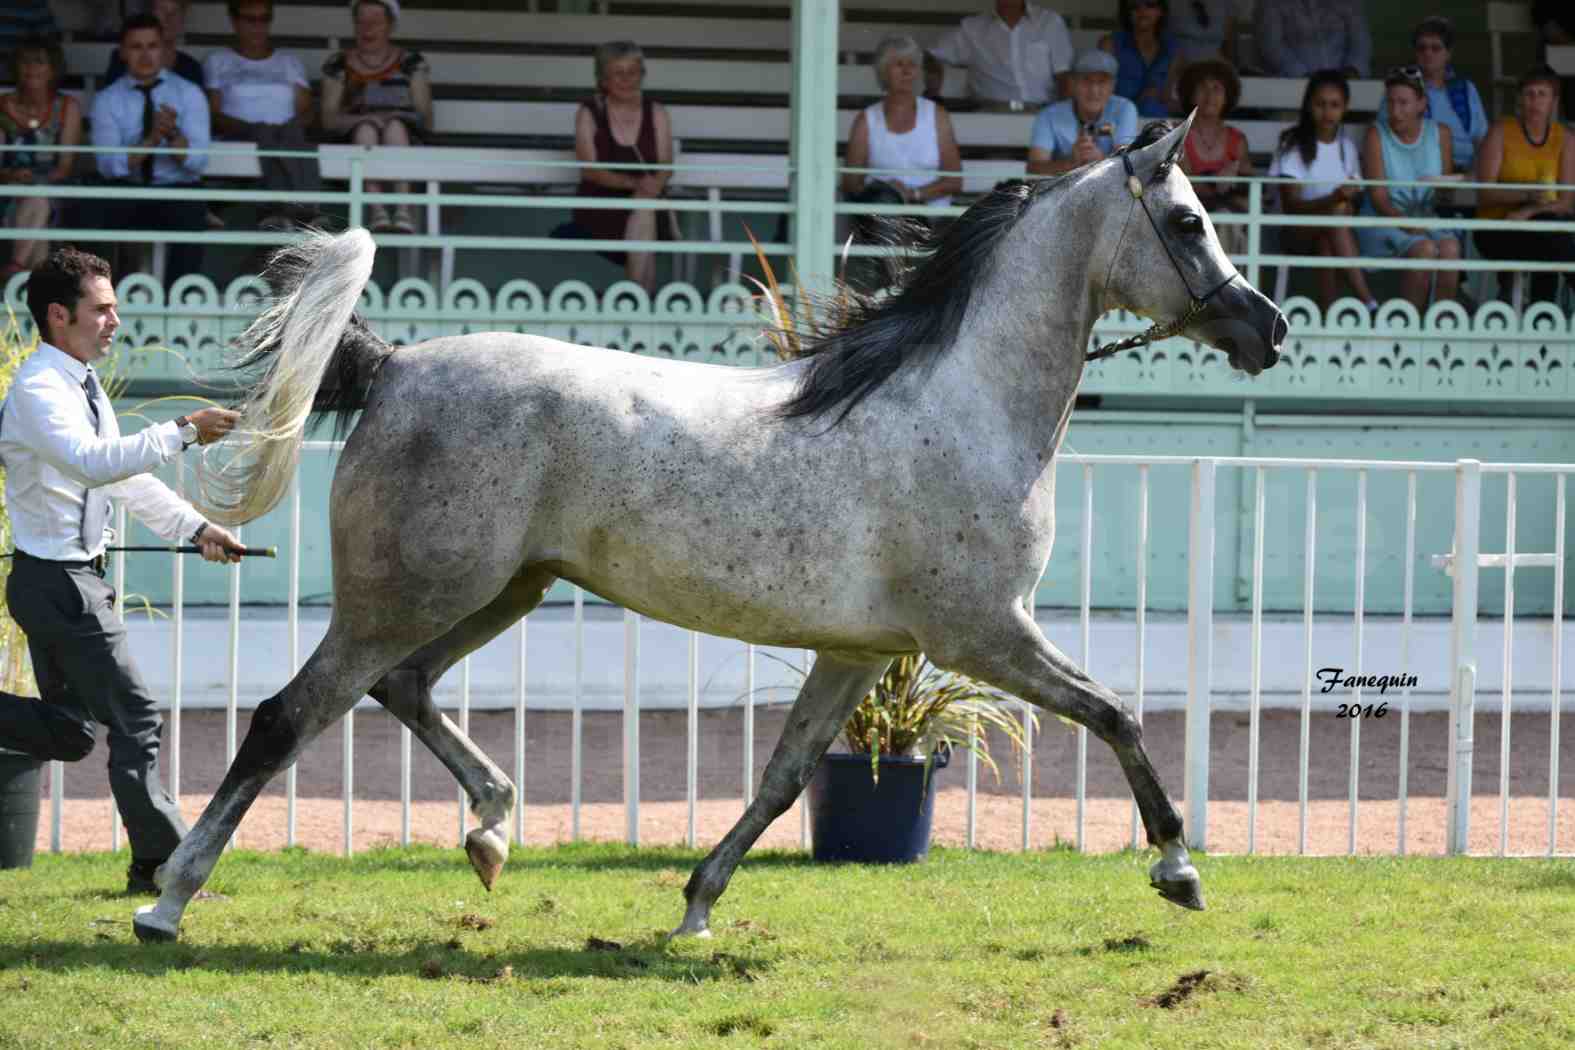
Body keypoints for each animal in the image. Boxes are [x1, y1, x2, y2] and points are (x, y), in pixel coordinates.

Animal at [135, 117, 1285, 944]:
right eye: (1189, 220)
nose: (1265, 327)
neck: (957, 403)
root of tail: (397, 367)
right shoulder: (981, 634)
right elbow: (1116, 714)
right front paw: (1178, 868)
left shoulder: (859, 651)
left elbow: (782, 778)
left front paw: (694, 905)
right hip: (403, 598)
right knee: (289, 716)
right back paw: (166, 903)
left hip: (502, 589)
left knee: (402, 689)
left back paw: (492, 832)